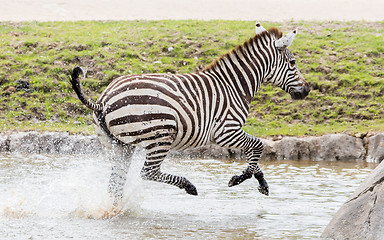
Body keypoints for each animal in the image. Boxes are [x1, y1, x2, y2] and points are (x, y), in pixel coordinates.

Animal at [70, 23, 308, 202]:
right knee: (148, 172)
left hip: (121, 145)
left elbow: (255, 153)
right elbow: (257, 146)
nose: (307, 90)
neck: (233, 86)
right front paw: (238, 179)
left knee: (115, 185)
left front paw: (261, 183)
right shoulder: (226, 131)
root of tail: (103, 101)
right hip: (160, 135)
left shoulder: (230, 133)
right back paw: (188, 186)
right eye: (293, 62)